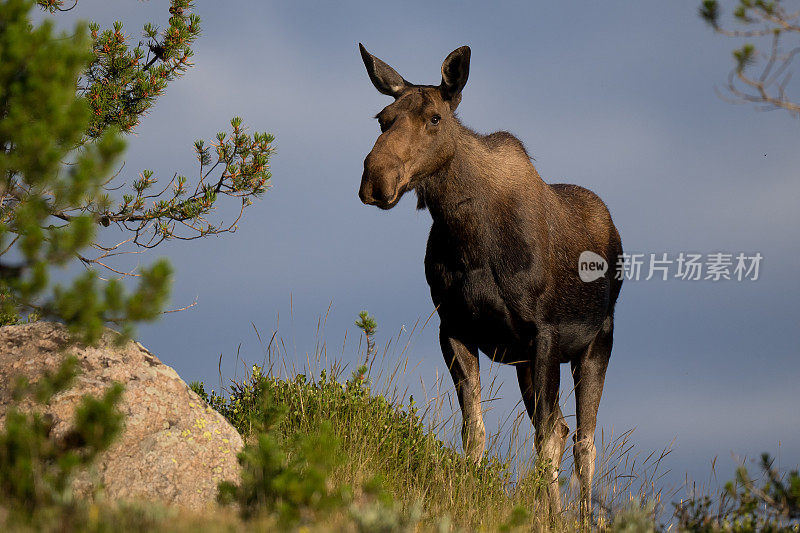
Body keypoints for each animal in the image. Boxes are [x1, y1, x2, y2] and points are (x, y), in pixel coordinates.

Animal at [358, 43, 624, 516]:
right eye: (382, 117)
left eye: (435, 118)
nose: (376, 178)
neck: (471, 236)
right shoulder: (455, 329)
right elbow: (474, 430)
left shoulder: (544, 333)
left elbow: (545, 442)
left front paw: (552, 519)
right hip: (526, 362)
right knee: (564, 428)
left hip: (597, 342)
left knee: (584, 441)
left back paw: (583, 518)